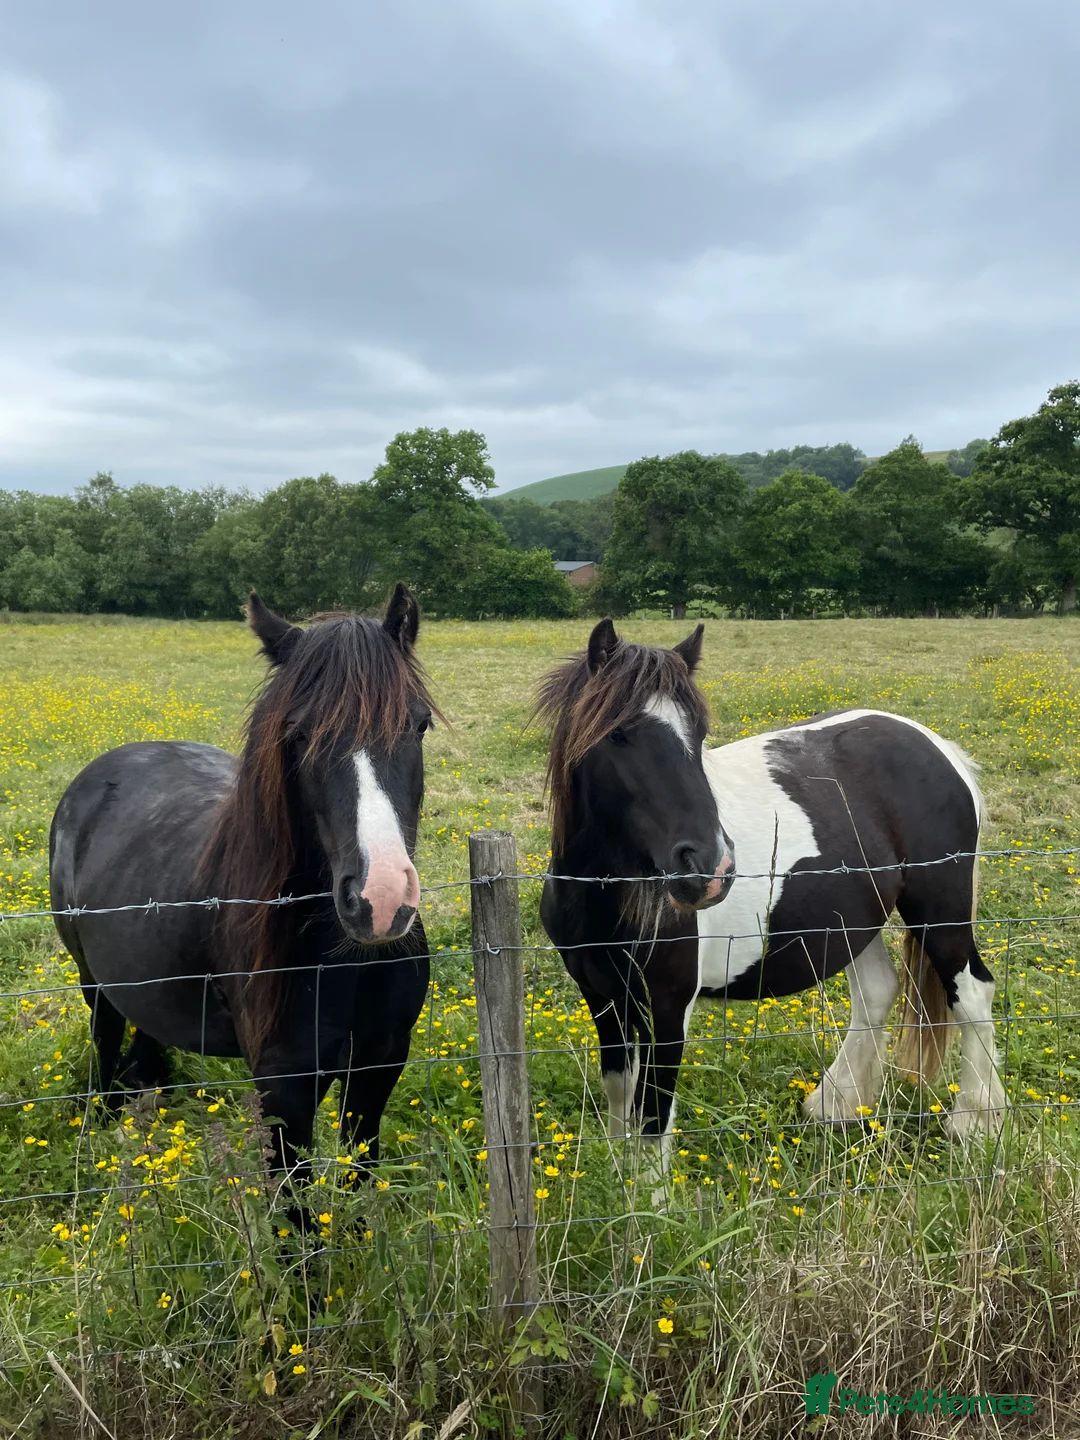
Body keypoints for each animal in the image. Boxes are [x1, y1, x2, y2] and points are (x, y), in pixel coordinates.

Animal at [49, 585, 436, 1208]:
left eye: (419, 724)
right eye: (297, 735)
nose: (379, 900)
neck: (342, 960)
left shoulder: (379, 1065)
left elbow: (358, 1188)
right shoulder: (284, 1091)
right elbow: (296, 1218)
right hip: (93, 981)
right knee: (105, 1043)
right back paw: (101, 1130)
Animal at [537, 618, 1005, 1185]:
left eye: (698, 733)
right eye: (617, 733)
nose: (711, 867)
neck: (607, 891)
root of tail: (939, 748)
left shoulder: (668, 1003)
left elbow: (653, 1109)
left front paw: (649, 1198)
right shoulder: (601, 994)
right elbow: (619, 1090)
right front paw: (614, 1178)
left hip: (938, 912)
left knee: (973, 993)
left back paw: (974, 1124)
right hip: (851, 920)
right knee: (877, 990)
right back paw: (834, 1106)